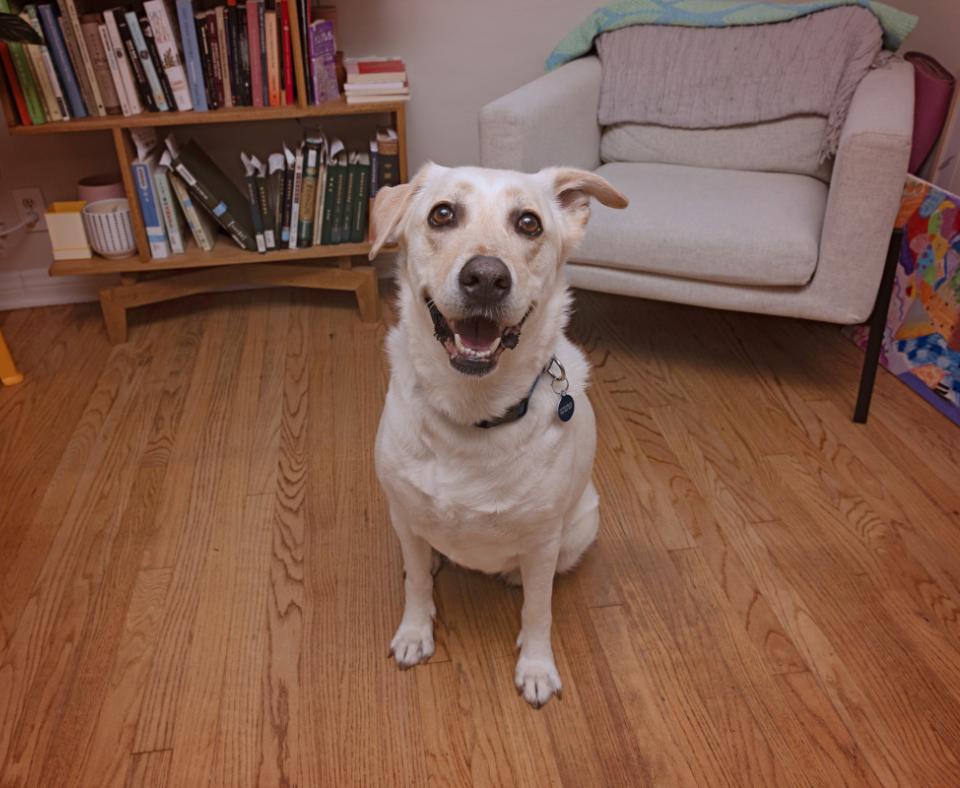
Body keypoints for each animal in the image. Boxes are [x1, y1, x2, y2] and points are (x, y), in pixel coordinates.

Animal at [370, 162, 632, 708]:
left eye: (529, 223)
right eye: (442, 214)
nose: (486, 278)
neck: (473, 415)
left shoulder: (542, 543)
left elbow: (538, 610)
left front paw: (536, 667)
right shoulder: (402, 511)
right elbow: (416, 587)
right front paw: (414, 633)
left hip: (580, 527)